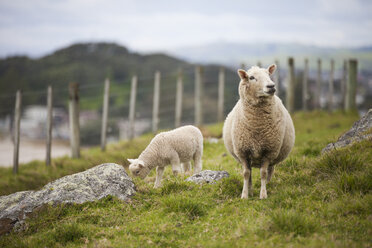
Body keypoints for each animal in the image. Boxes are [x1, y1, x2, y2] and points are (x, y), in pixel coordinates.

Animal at [222, 64, 294, 200]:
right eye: (251, 77)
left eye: (269, 75)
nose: (271, 86)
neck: (257, 126)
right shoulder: (243, 152)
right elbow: (246, 174)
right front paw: (244, 195)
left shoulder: (268, 151)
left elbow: (263, 173)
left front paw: (263, 194)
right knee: (250, 173)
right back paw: (250, 191)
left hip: (273, 154)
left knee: (270, 171)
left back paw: (267, 185)